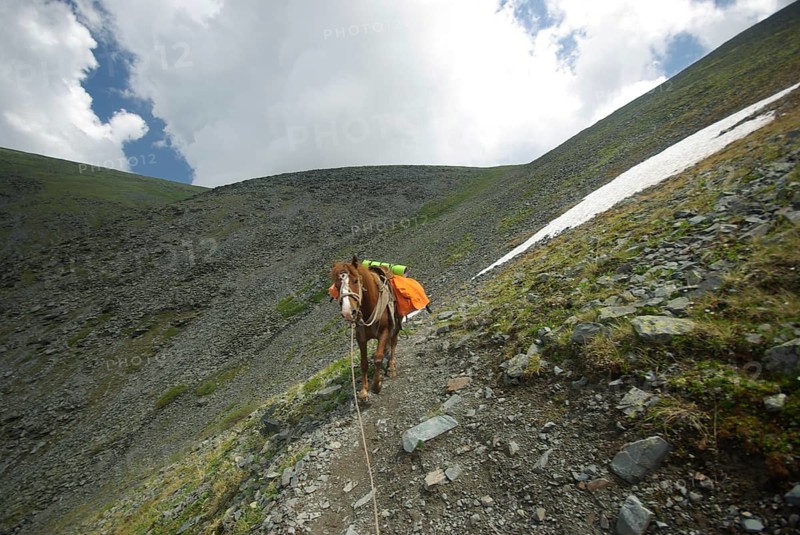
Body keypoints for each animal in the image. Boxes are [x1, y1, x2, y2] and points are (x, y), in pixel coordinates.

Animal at [331, 256, 402, 401]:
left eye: (355, 281)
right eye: (336, 285)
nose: (348, 312)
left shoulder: (384, 332)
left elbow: (378, 357)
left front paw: (376, 385)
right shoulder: (360, 337)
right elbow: (364, 362)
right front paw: (363, 391)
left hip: (395, 325)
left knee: (393, 343)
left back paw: (391, 367)